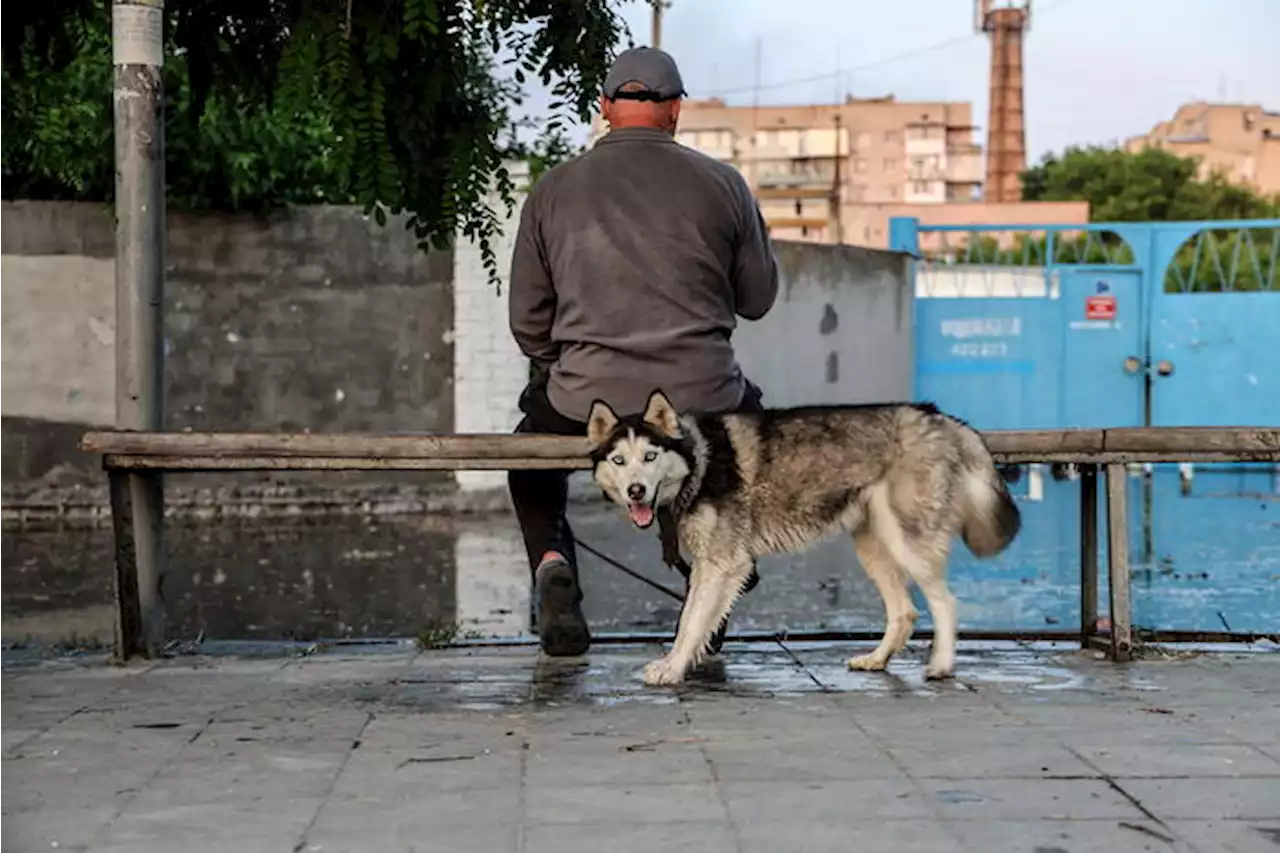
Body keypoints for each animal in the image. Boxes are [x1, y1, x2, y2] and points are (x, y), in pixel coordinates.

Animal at [586, 386, 1018, 686]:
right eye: (619, 460)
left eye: (650, 456)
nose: (636, 491)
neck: (698, 463)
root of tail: (938, 416)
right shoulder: (707, 566)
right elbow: (690, 619)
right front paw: (677, 663)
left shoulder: (725, 563)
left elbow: (691, 624)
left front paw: (673, 669)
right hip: (873, 546)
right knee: (904, 612)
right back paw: (876, 660)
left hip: (907, 542)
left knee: (945, 602)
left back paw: (941, 666)